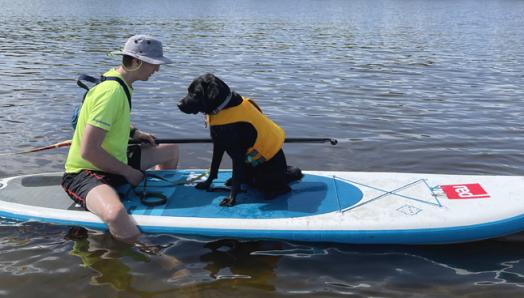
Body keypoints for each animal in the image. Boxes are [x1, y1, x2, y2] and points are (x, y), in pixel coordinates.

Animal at [178, 73, 300, 206]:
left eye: (195, 93)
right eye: (188, 91)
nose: (178, 104)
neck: (223, 108)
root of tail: (285, 176)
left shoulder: (237, 152)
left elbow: (236, 176)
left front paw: (231, 199)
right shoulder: (218, 144)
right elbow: (213, 167)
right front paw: (206, 184)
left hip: (267, 172)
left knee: (285, 188)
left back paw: (271, 193)